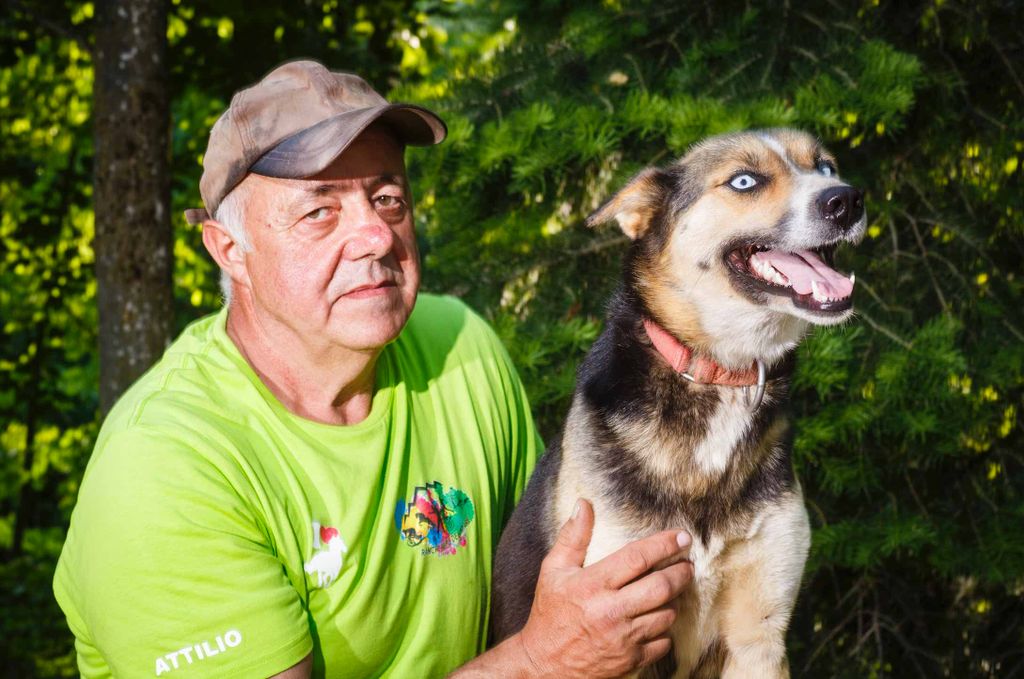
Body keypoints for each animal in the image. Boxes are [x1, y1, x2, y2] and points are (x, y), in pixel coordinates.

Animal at [490, 128, 866, 678]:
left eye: (825, 167)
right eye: (744, 181)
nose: (847, 200)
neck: (719, 376)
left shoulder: (759, 638)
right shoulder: (615, 630)